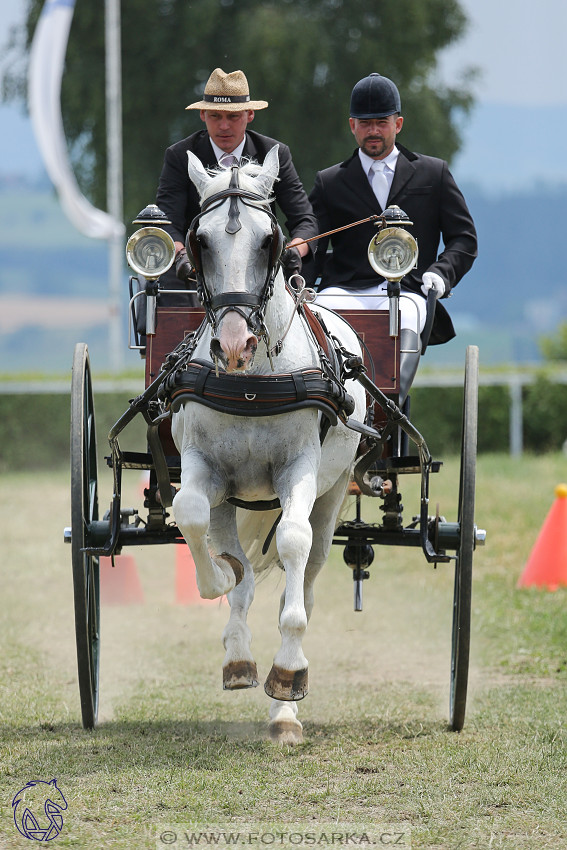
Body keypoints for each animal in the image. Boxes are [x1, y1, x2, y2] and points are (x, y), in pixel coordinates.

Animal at [170, 147, 364, 744]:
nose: (234, 345)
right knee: (235, 558)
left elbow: (294, 547)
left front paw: (288, 677)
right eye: (200, 240)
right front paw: (218, 579)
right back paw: (238, 654)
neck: (254, 378)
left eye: (268, 241)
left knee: (307, 567)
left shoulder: (298, 469)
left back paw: (283, 709)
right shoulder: (206, 468)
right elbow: (191, 516)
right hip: (235, 498)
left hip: (331, 493)